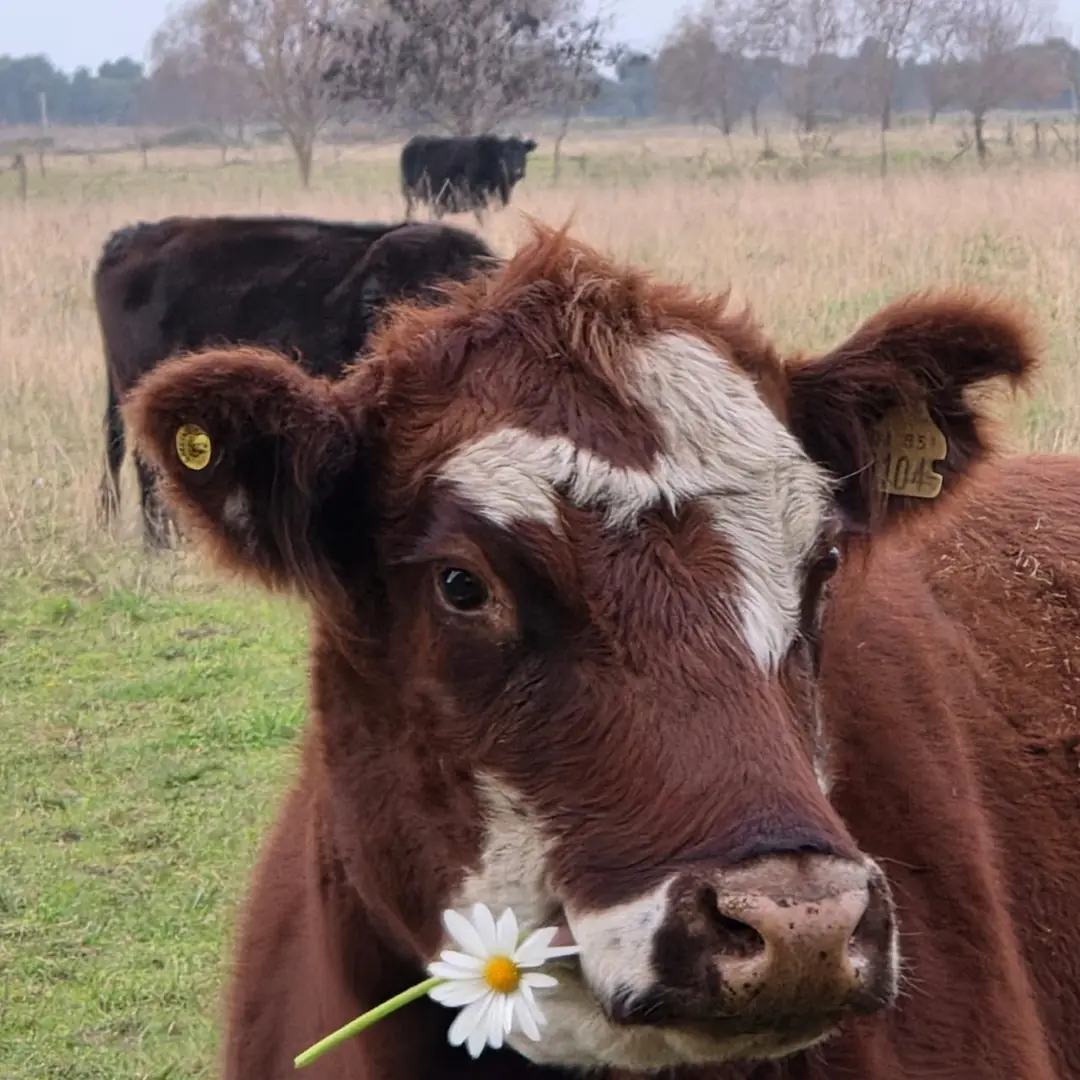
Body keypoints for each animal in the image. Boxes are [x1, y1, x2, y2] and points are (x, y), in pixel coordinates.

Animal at [401, 134, 538, 224]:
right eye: (505, 154)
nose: (518, 172)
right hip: (411, 197)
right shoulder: (477, 197)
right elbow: (481, 219)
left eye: (523, 154)